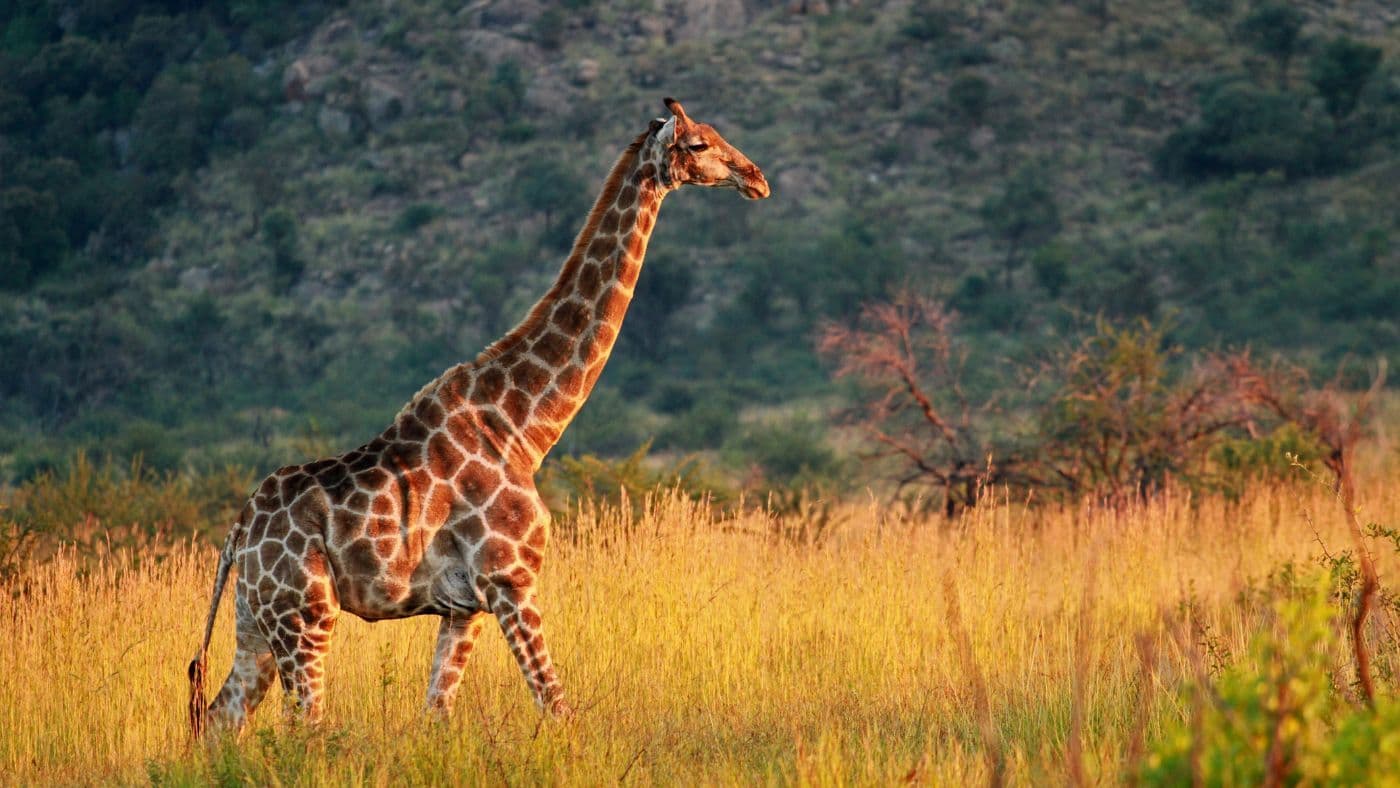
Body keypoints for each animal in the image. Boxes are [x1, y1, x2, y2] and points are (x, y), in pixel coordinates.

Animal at [187, 97, 770, 736]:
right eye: (697, 144)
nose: (756, 177)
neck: (521, 426)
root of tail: (239, 530)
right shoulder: (510, 577)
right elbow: (555, 705)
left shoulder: (465, 606)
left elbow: (437, 713)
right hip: (305, 613)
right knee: (305, 725)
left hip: (256, 621)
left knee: (218, 719)